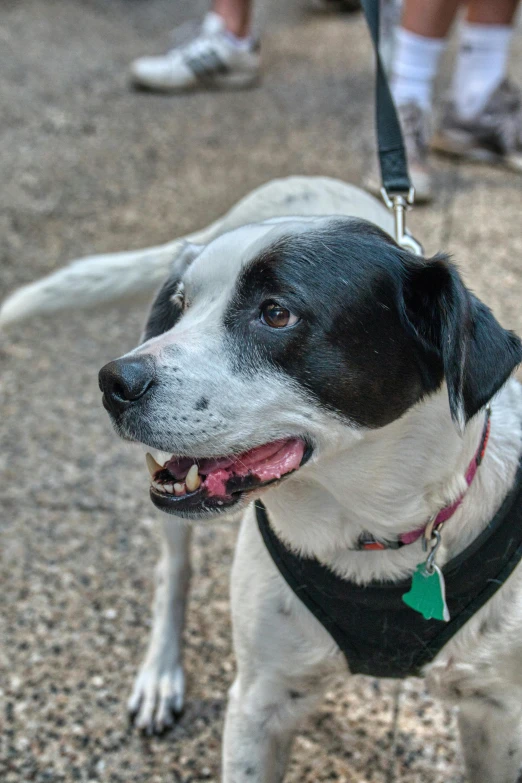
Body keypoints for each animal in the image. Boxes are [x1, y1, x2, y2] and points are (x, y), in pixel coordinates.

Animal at [4, 178, 520, 783]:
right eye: (180, 307)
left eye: (276, 313)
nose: (113, 381)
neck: (369, 524)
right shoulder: (260, 701)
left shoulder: (497, 715)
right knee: (172, 573)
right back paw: (160, 674)